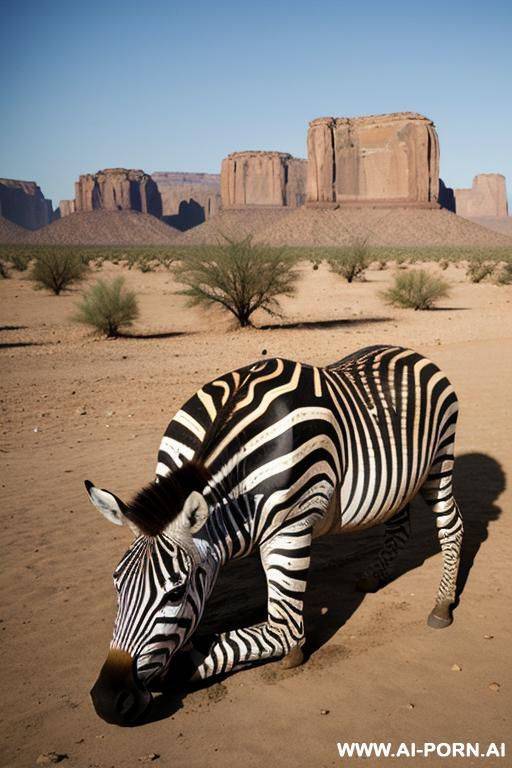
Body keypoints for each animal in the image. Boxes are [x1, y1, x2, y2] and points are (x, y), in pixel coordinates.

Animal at [85, 345, 463, 725]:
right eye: (117, 583)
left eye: (176, 593)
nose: (107, 700)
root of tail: (409, 352)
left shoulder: (290, 532)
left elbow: (282, 630)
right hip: (401, 481)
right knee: (399, 526)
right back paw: (374, 576)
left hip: (439, 463)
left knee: (453, 526)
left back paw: (442, 605)